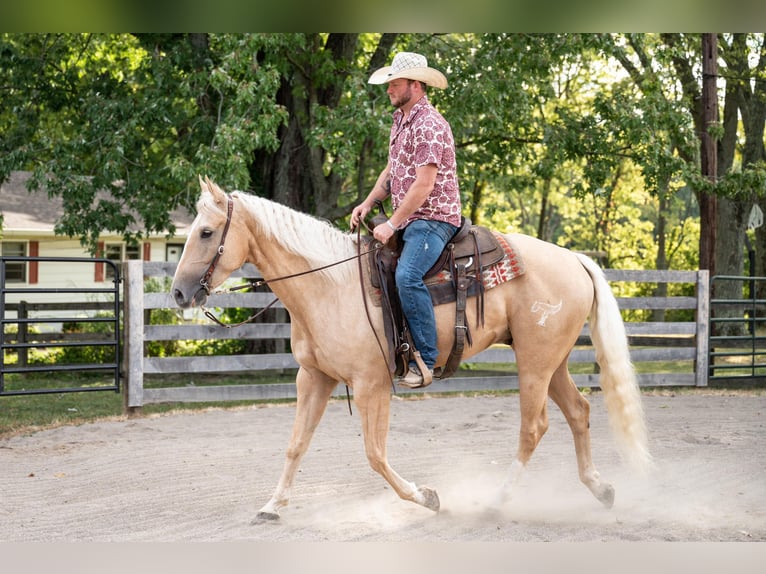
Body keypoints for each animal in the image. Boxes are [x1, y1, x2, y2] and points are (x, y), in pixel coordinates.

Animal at [171, 176, 652, 520]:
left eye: (207, 232)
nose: (178, 293)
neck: (330, 286)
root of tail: (575, 259)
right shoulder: (314, 378)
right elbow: (296, 445)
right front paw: (272, 506)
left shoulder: (371, 384)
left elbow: (375, 455)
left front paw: (427, 496)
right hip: (552, 361)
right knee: (579, 412)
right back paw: (601, 489)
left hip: (534, 363)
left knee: (533, 428)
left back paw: (498, 501)